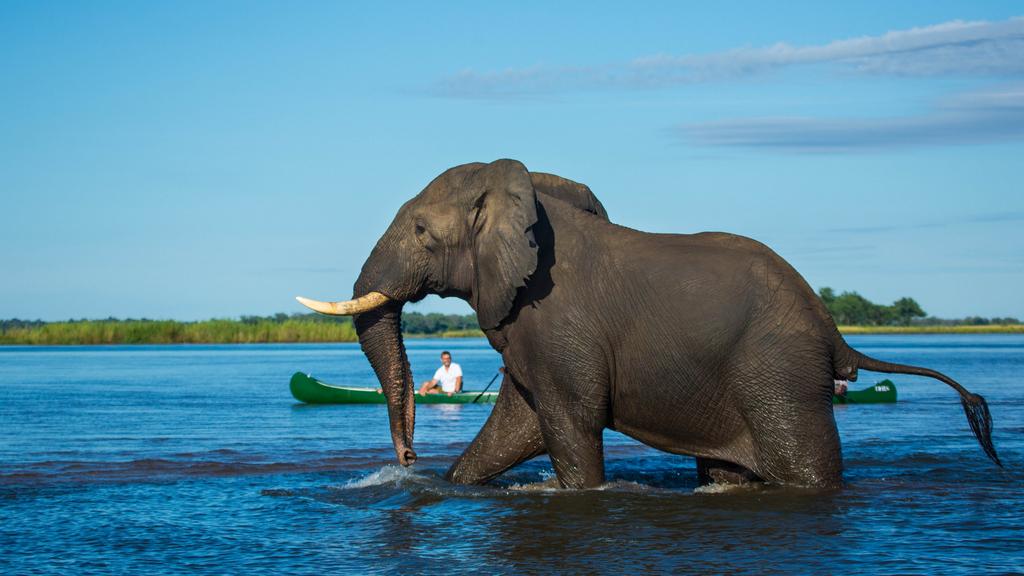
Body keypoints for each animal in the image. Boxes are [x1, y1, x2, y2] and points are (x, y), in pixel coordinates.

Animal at [296, 159, 1000, 489]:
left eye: (420, 230)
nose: (408, 459)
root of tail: (834, 333)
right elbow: (517, 425)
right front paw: (447, 484)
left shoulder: (559, 323)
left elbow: (568, 426)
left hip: (780, 371)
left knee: (804, 469)